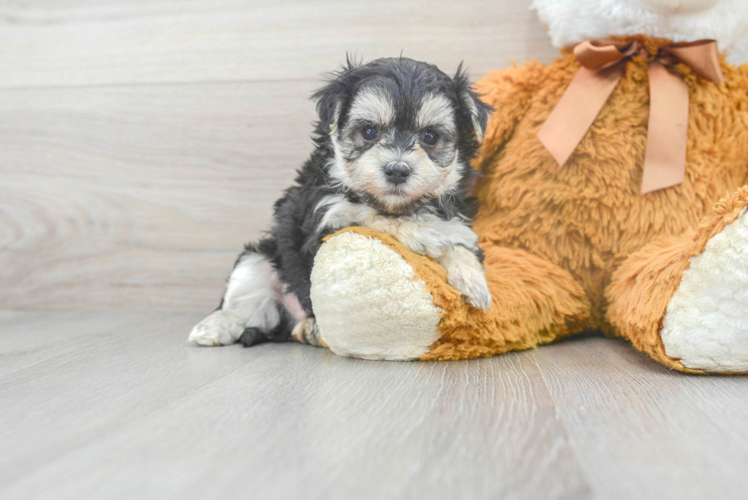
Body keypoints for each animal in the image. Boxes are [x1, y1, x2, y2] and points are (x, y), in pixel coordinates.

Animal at [188, 57, 490, 348]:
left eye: (430, 137)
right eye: (369, 132)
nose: (397, 170)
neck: (398, 206)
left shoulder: (457, 221)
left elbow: (459, 242)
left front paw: (473, 280)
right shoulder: (325, 216)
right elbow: (371, 216)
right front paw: (424, 234)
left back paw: (309, 330)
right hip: (259, 258)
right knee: (244, 302)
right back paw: (213, 327)